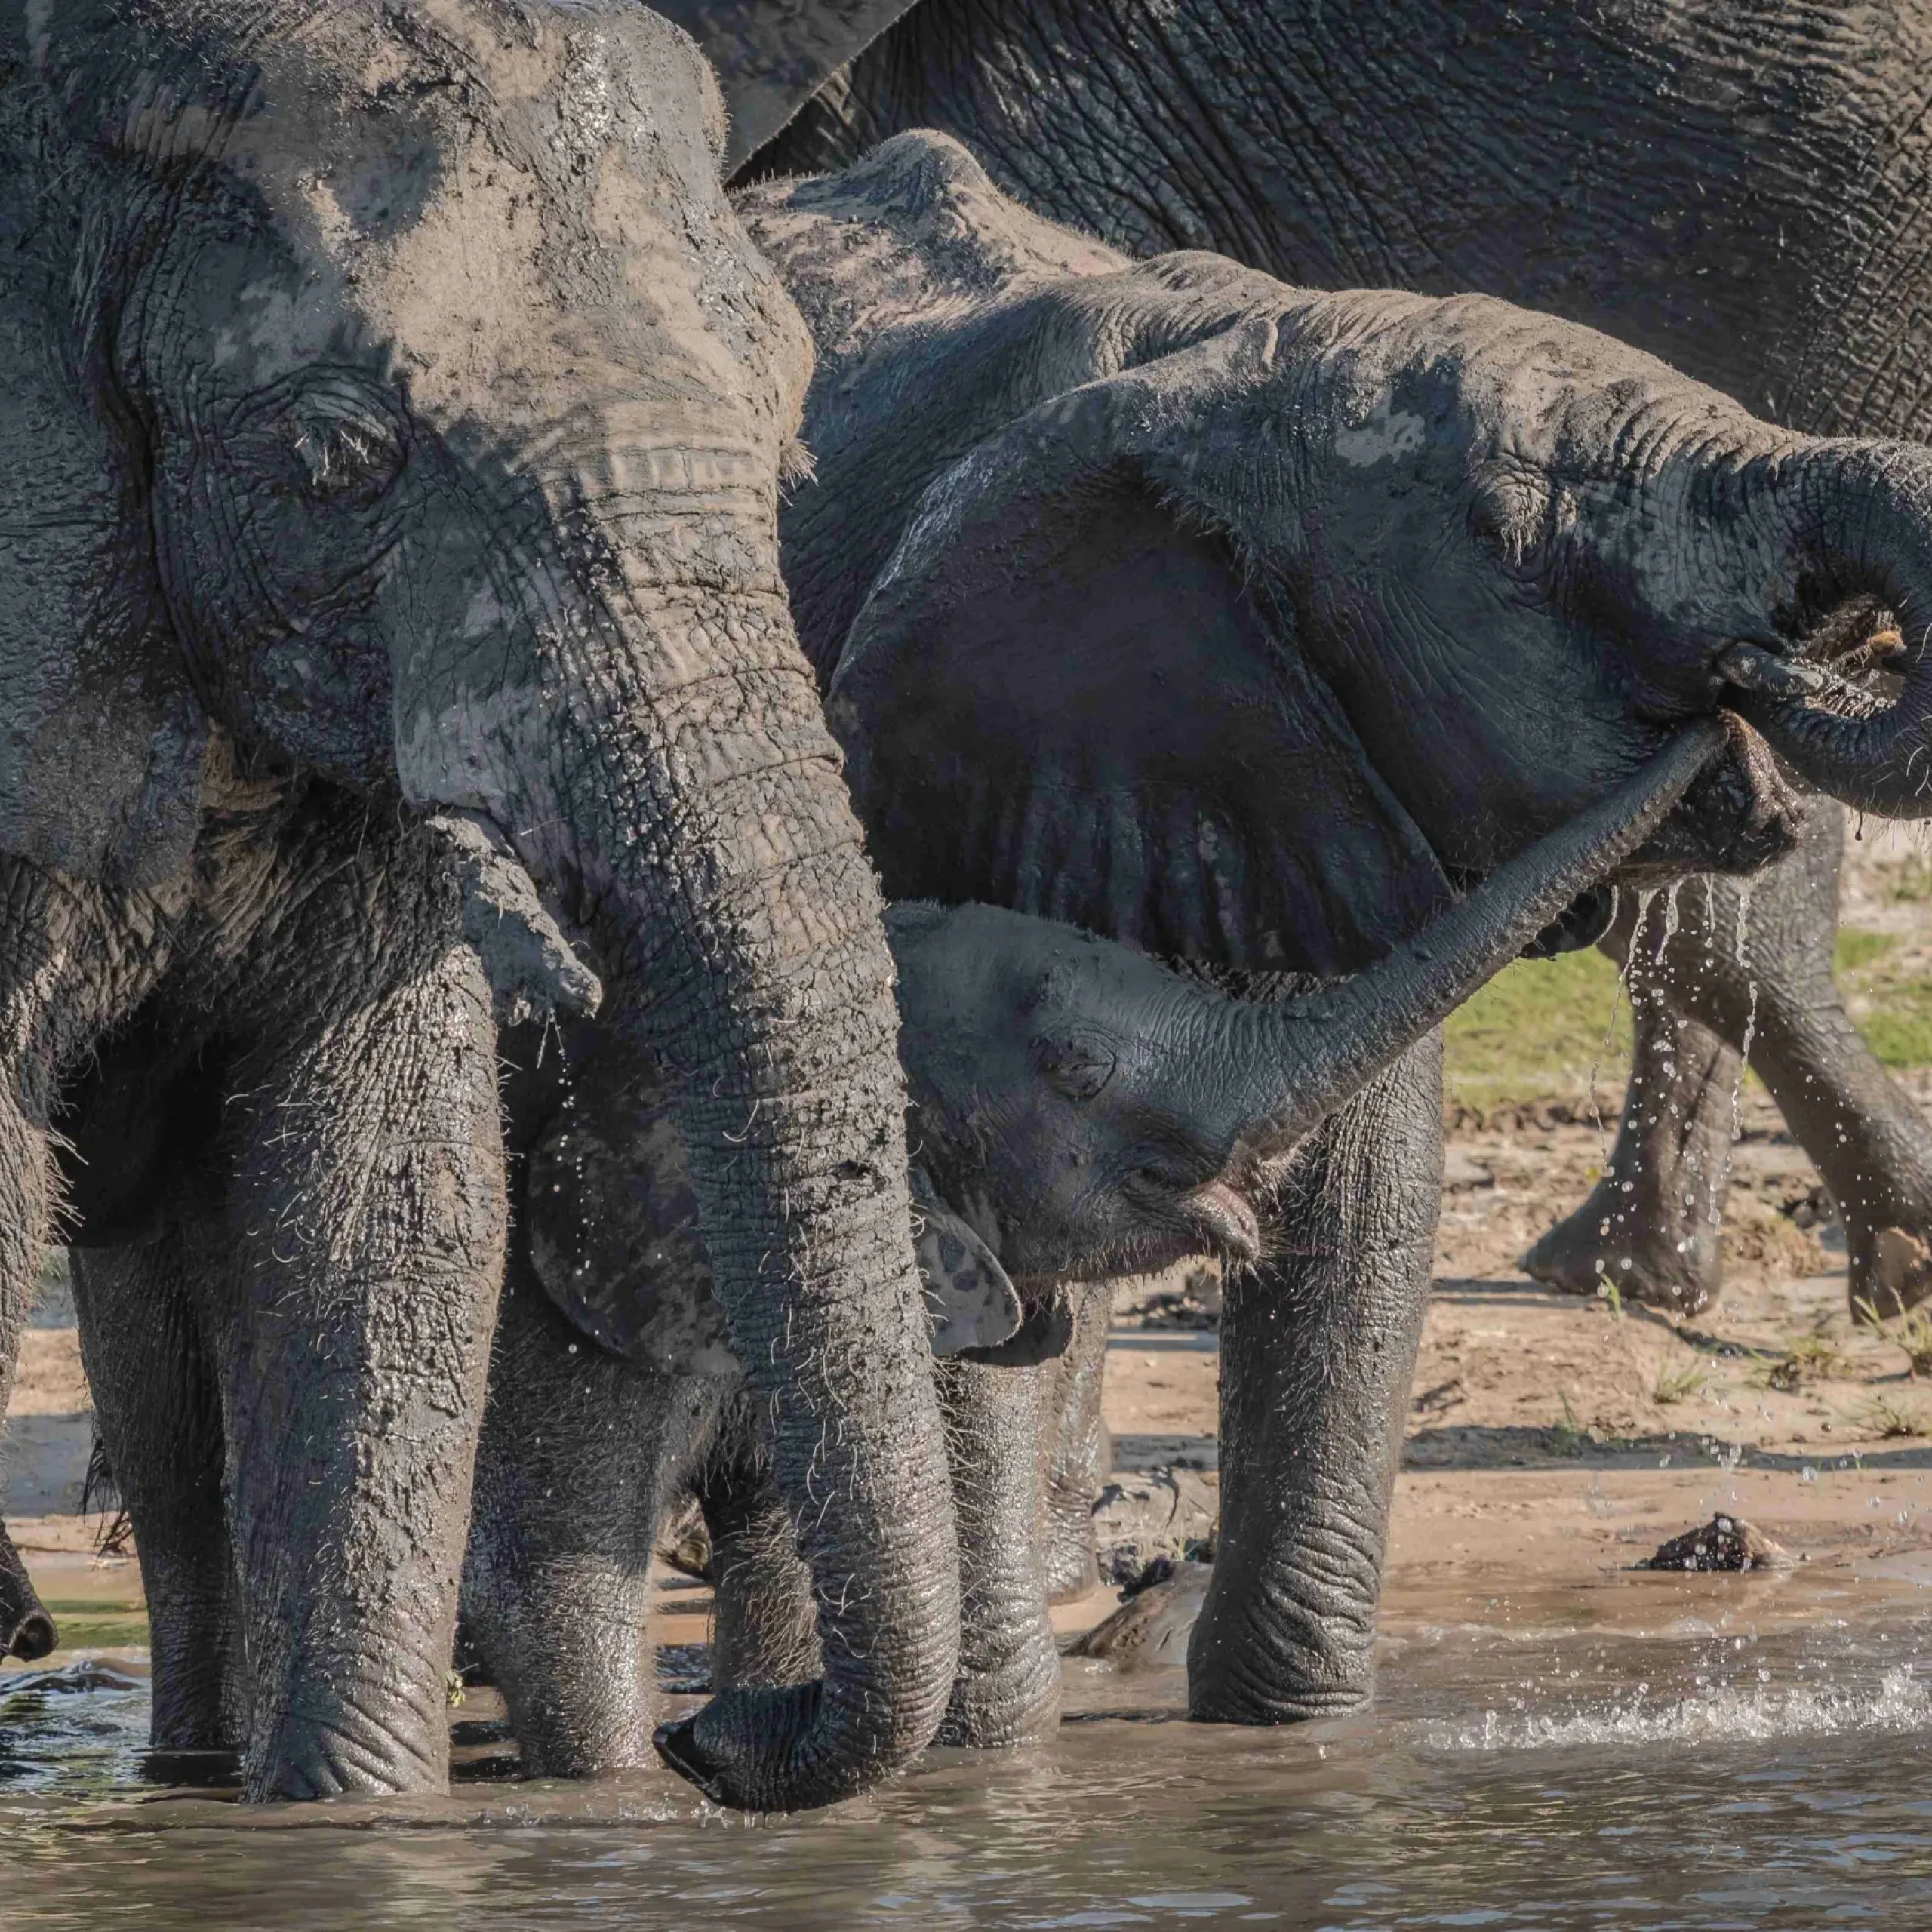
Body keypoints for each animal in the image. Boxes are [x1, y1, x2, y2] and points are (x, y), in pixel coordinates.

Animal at [65, 725, 1718, 1778]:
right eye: (1076, 1074)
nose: (1738, 714)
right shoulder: (581, 1263)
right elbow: (559, 1584)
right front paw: (633, 1784)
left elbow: (788, 1547)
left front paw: (749, 1723)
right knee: (183, 1483)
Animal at [716, 129, 1932, 1728]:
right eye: (1516, 536)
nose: (1758, 673)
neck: (1242, 355)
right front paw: (989, 1750)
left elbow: (1361, 1193)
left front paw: (1285, 1734)